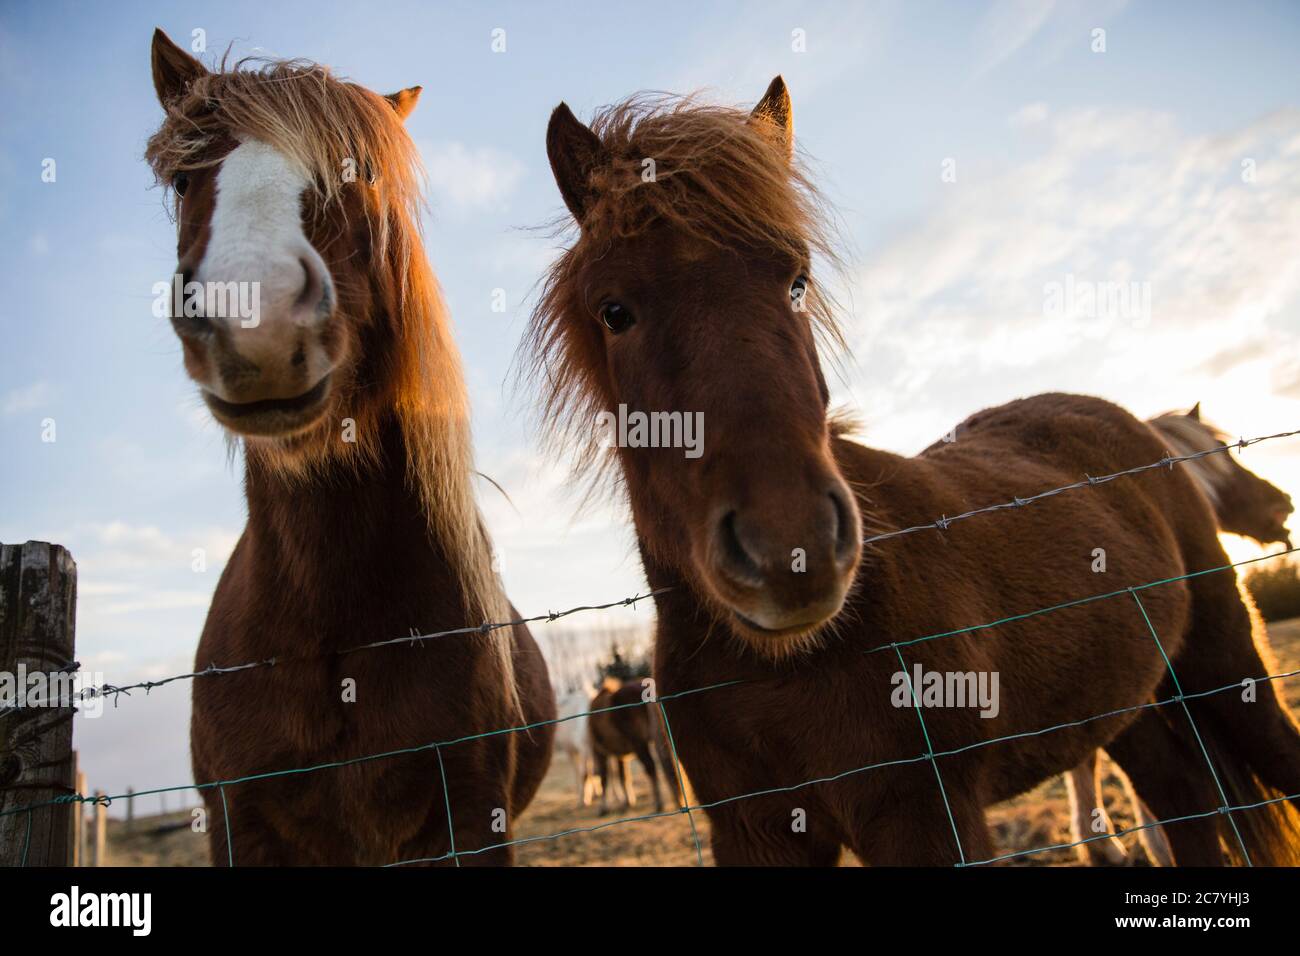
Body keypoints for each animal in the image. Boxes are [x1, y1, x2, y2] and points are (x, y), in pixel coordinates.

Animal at [525, 76, 1300, 868]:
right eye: (614, 311)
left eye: (797, 281)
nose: (792, 549)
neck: (785, 665)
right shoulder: (755, 832)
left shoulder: (925, 815)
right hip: (1126, 703)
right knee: (1184, 800)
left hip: (1226, 666)